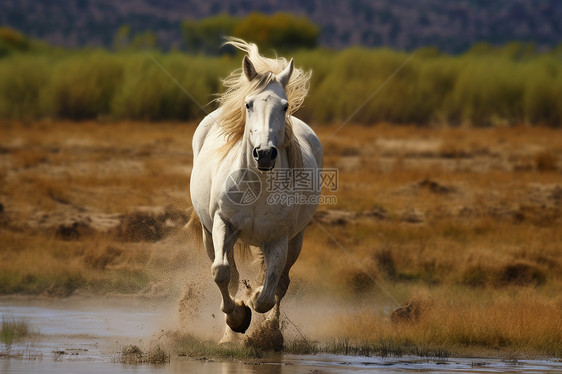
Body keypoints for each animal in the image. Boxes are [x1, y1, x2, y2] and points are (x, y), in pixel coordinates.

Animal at [187, 38, 320, 344]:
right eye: (248, 104)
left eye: (284, 106)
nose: (265, 154)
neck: (258, 186)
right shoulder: (223, 224)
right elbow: (222, 273)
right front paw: (237, 318)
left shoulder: (278, 240)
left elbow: (267, 294)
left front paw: (253, 299)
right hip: (209, 233)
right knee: (231, 274)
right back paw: (229, 335)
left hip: (296, 240)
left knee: (281, 284)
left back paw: (272, 331)